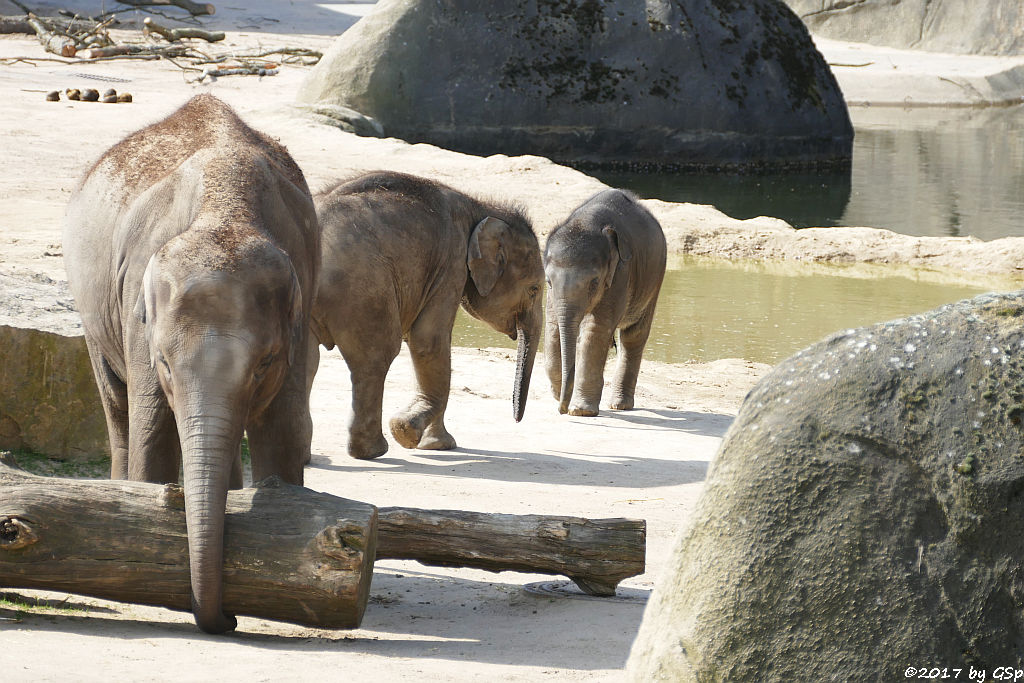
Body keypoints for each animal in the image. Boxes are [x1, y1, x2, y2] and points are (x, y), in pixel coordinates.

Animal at [61, 93, 317, 634]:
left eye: (264, 363)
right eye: (162, 360)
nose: (230, 620)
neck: (225, 208)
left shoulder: (304, 299)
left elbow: (283, 431)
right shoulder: (137, 313)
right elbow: (153, 430)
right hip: (94, 316)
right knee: (118, 407)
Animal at [311, 171, 544, 458]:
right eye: (534, 289)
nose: (515, 419)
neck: (480, 207)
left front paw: (436, 444)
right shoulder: (452, 262)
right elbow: (428, 340)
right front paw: (407, 431)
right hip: (363, 288)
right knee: (377, 355)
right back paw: (373, 450)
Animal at [544, 187, 671, 417]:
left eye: (594, 282)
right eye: (548, 281)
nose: (561, 410)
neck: (587, 221)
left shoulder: (621, 272)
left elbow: (596, 329)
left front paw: (580, 411)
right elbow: (553, 326)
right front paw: (559, 394)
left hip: (655, 278)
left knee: (634, 335)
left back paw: (620, 405)